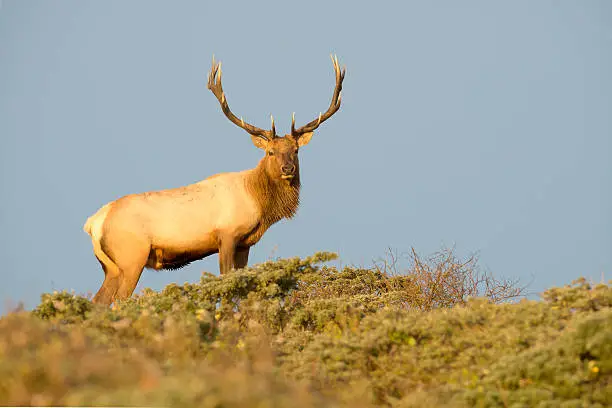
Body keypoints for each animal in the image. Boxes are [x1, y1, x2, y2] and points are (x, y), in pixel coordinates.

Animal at [83, 54, 346, 304]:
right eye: (270, 152)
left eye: (296, 150)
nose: (287, 168)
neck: (258, 202)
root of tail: (94, 223)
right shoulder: (227, 235)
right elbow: (226, 285)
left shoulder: (245, 244)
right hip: (131, 257)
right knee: (119, 300)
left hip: (112, 267)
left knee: (98, 302)